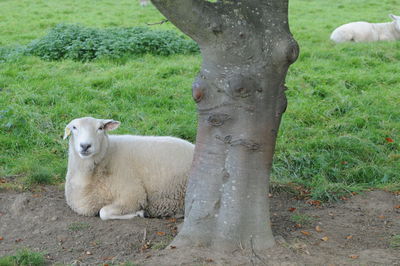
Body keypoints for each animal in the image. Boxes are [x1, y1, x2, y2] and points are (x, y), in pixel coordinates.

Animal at [63, 117, 195, 220]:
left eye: (100, 128)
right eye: (74, 127)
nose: (85, 145)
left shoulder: (133, 194)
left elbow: (103, 212)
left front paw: (139, 213)